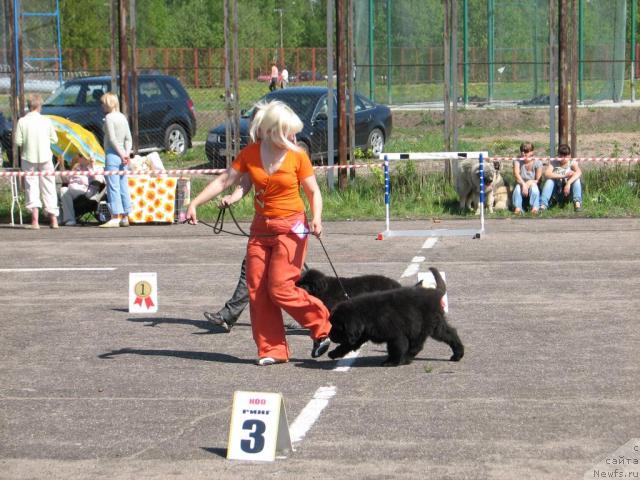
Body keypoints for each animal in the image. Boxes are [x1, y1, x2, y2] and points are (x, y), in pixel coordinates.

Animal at [328, 266, 462, 368]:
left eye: (337, 327)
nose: (329, 336)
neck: (364, 315)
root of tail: (435, 293)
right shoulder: (360, 335)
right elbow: (346, 345)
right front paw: (333, 353)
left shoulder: (396, 335)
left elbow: (396, 348)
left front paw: (391, 362)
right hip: (436, 325)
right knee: (451, 334)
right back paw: (458, 354)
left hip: (422, 327)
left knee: (417, 346)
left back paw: (406, 358)